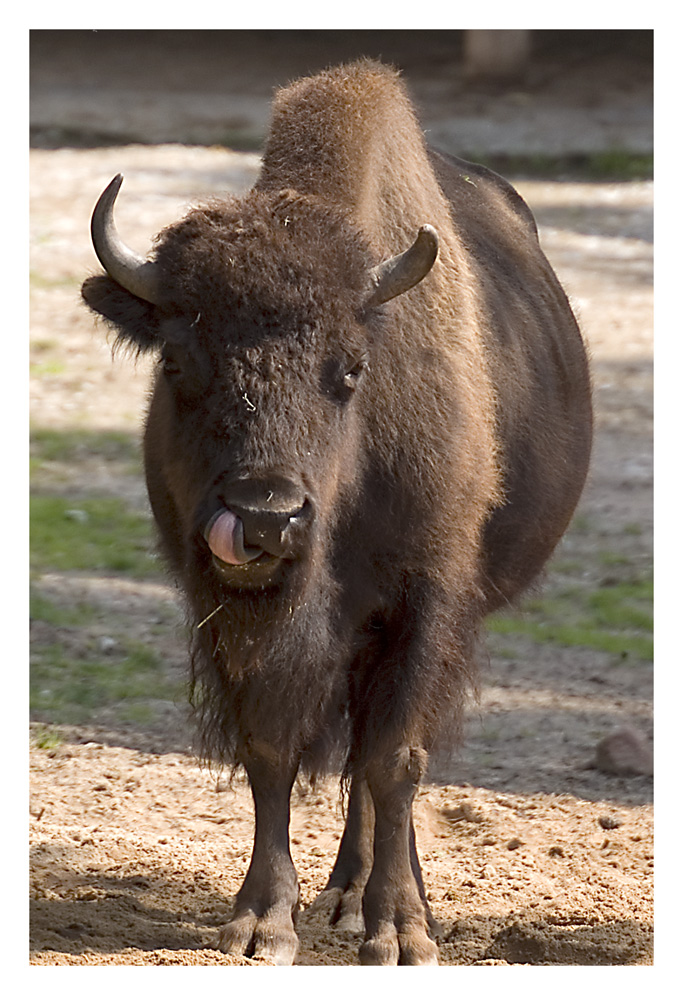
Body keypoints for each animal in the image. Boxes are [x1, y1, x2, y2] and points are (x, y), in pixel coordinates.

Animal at [80, 60, 592, 964]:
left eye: (350, 369)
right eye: (176, 360)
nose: (265, 517)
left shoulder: (428, 596)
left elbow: (393, 758)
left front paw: (400, 930)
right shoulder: (228, 609)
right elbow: (269, 748)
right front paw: (260, 920)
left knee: (380, 763)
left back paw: (372, 902)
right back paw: (347, 894)